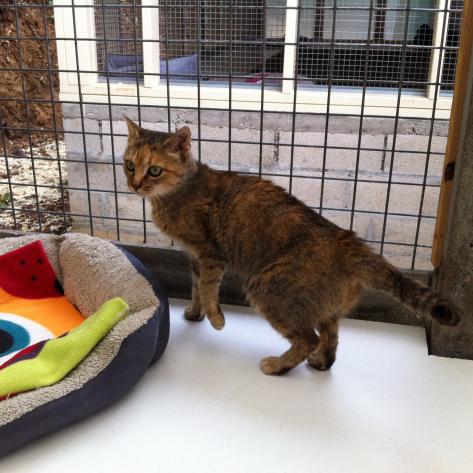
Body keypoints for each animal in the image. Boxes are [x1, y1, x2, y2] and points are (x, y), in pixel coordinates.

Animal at [123, 117, 460, 375]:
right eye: (128, 164)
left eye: (154, 170)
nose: (134, 184)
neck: (179, 191)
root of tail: (348, 241)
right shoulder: (193, 257)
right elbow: (195, 288)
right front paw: (195, 313)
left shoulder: (209, 255)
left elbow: (206, 290)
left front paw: (215, 318)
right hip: (322, 308)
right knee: (330, 337)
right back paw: (320, 363)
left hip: (267, 289)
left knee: (308, 338)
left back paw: (277, 366)